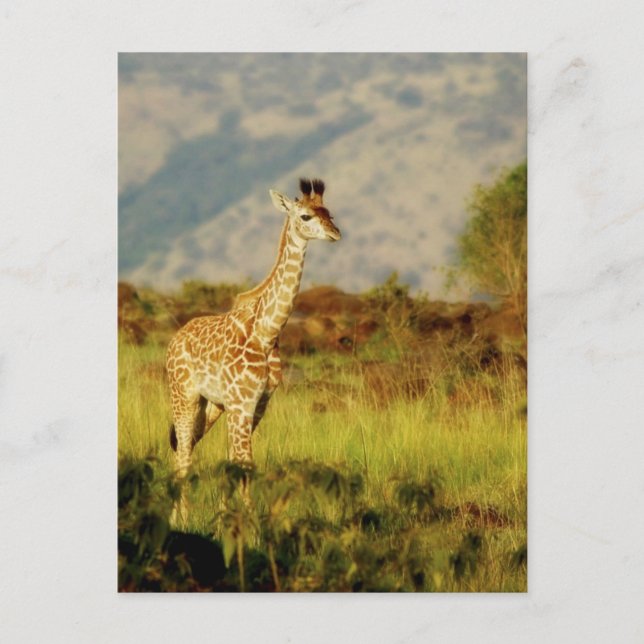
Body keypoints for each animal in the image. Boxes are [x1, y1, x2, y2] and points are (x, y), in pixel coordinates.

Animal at [166, 178, 340, 508]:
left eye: (330, 213)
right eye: (305, 216)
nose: (336, 233)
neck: (266, 331)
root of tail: (174, 340)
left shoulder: (257, 405)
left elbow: (235, 462)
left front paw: (228, 515)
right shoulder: (241, 404)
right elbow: (245, 463)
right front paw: (246, 521)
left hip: (212, 405)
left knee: (186, 448)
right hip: (184, 396)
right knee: (182, 455)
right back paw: (182, 516)